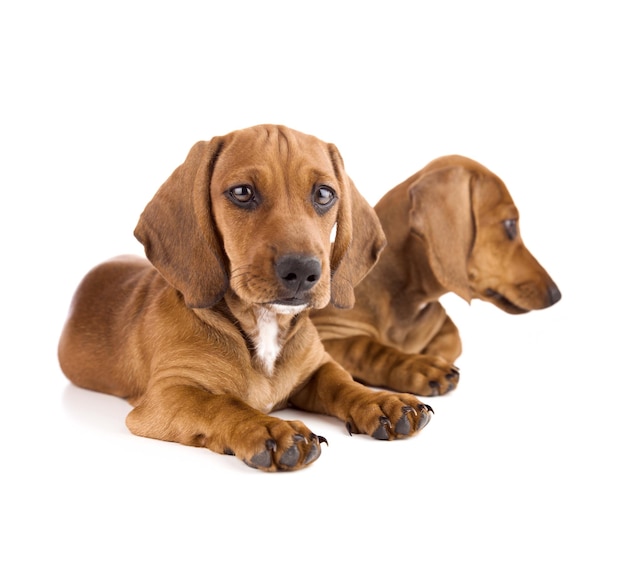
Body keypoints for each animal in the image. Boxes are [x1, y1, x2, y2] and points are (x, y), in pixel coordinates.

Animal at [57, 126, 434, 472]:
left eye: (325, 194)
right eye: (242, 192)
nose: (302, 270)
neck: (262, 323)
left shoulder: (317, 367)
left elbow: (343, 382)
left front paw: (381, 402)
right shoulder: (167, 394)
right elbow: (220, 404)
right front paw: (269, 428)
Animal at [312, 155, 560, 398]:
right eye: (510, 224)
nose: (556, 295)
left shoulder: (444, 323)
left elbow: (452, 339)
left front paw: (431, 357)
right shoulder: (326, 333)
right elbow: (364, 347)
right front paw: (418, 365)